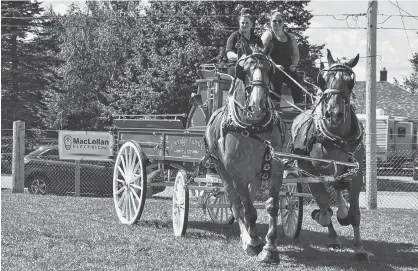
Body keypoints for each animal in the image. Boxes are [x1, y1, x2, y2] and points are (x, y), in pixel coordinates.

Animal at [206, 50, 284, 264]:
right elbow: (247, 208)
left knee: (248, 196)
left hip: (256, 175)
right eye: (244, 71)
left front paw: (270, 248)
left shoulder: (276, 170)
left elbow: (271, 207)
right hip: (222, 172)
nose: (257, 105)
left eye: (269, 70)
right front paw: (254, 242)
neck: (254, 128)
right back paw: (246, 237)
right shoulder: (237, 175)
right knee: (235, 203)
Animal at [290, 49, 366, 262]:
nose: (333, 114)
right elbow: (323, 202)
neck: (337, 137)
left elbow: (354, 212)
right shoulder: (313, 171)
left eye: (350, 80)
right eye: (323, 79)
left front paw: (359, 248)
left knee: (337, 189)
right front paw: (323, 217)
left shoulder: (356, 172)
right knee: (324, 198)